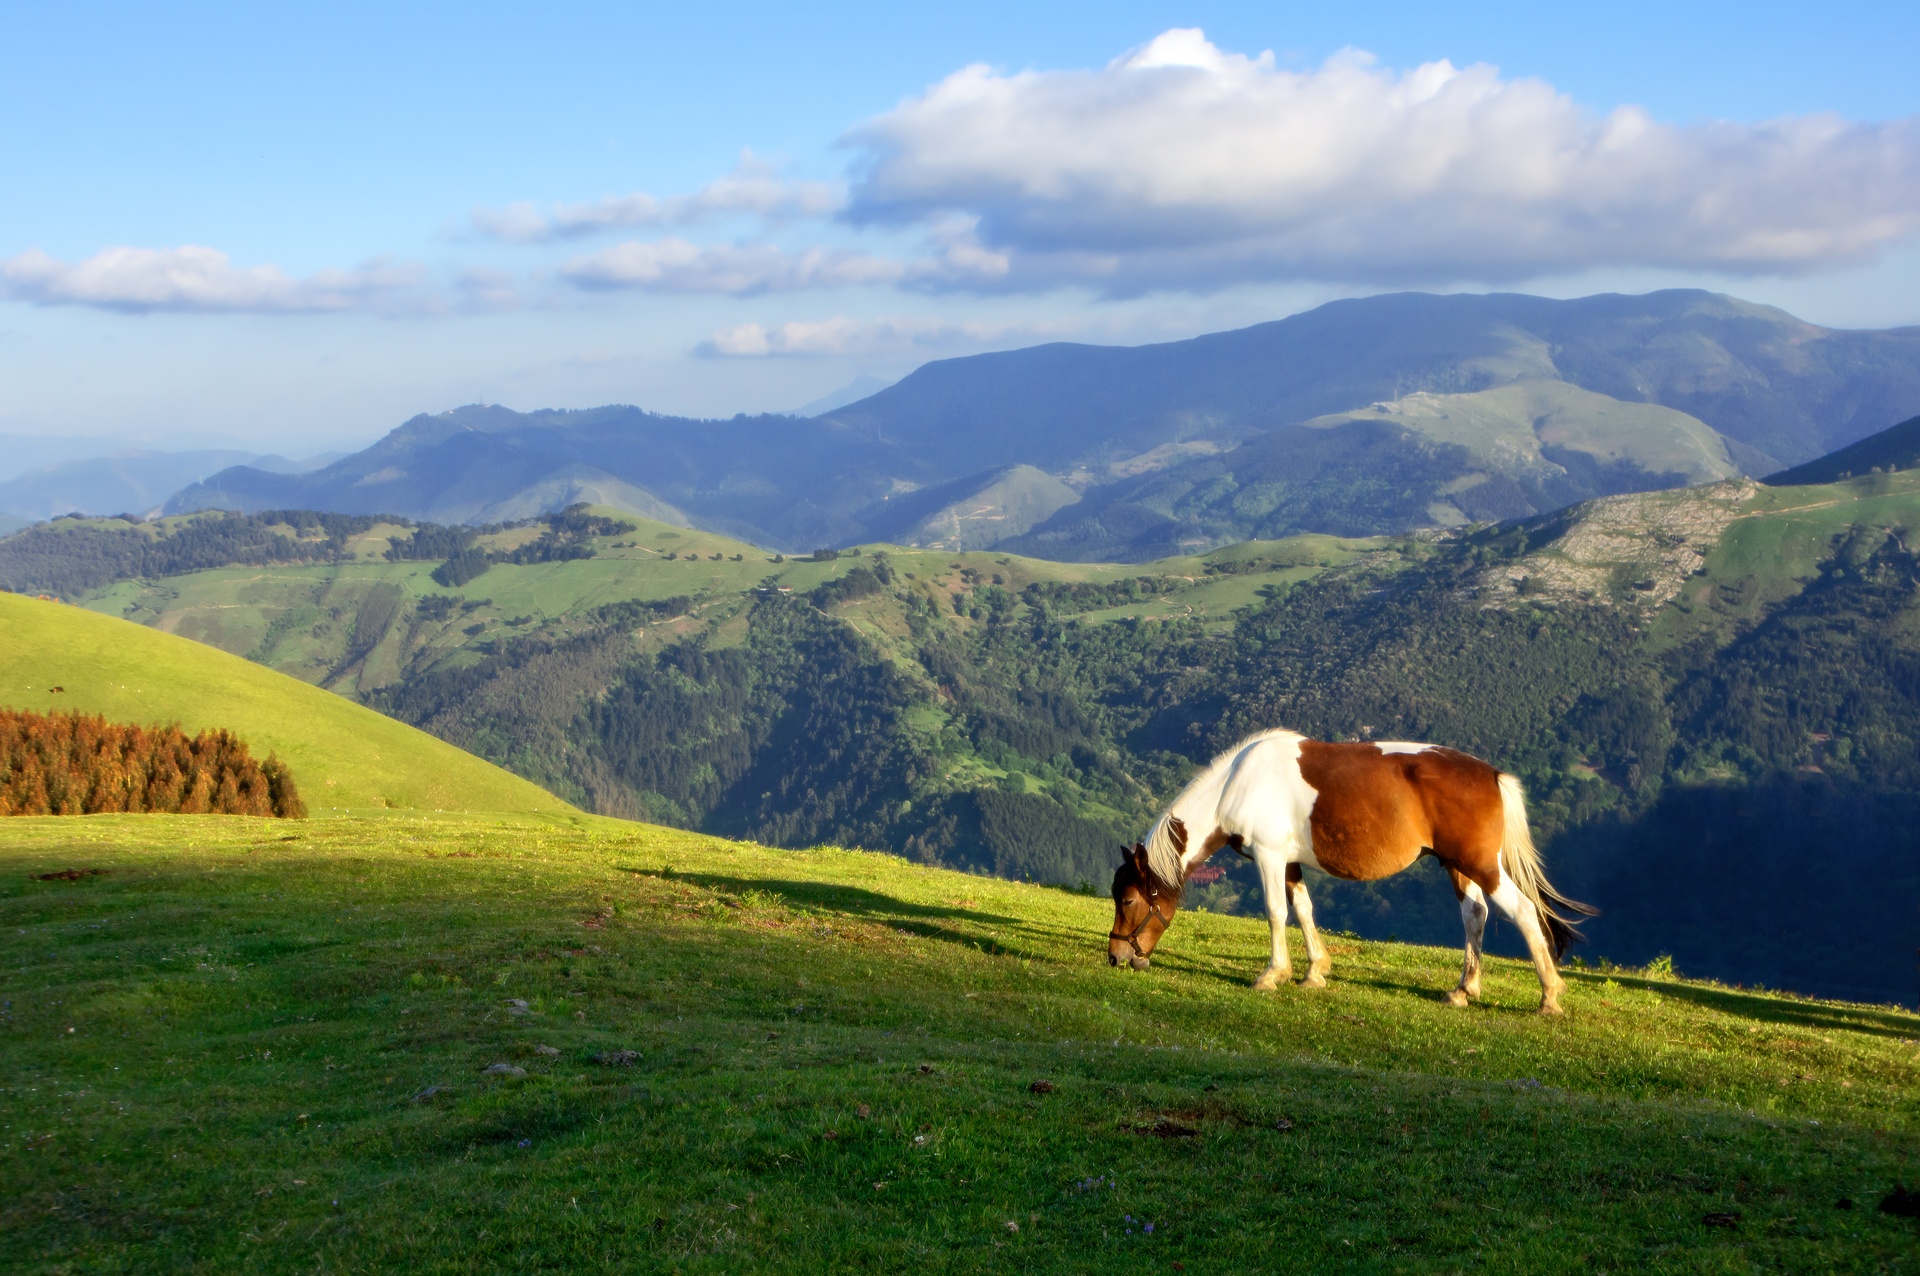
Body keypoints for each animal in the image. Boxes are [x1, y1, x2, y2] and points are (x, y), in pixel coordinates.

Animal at [1113, 732, 1589, 1013]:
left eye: (1129, 899)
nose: (1117, 956)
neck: (1237, 784)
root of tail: (1492, 775)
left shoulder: (1269, 857)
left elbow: (1275, 913)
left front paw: (1272, 975)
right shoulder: (1289, 863)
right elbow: (1303, 911)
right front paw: (1314, 973)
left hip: (1482, 866)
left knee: (1523, 912)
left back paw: (1549, 996)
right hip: (1458, 866)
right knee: (1475, 917)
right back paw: (1463, 990)